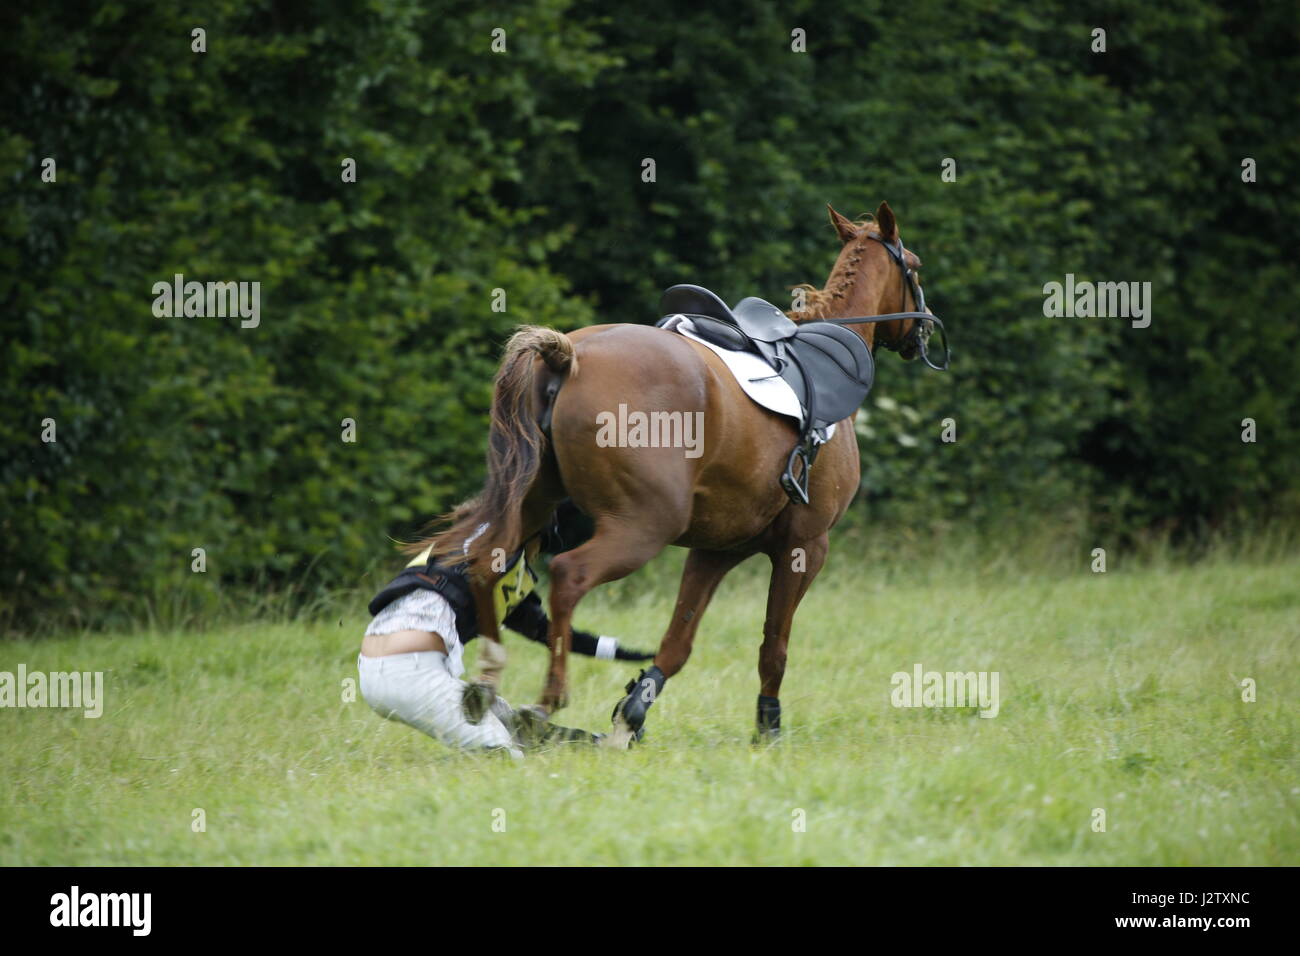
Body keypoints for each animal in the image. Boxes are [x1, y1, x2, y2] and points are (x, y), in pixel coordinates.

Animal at [421, 201, 941, 749]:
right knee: (567, 577)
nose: (923, 331)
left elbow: (677, 642)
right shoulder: (805, 546)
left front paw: (632, 713)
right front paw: (768, 727)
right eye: (915, 264)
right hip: (643, 528)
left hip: (537, 506)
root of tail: (569, 354)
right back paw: (546, 699)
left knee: (486, 562)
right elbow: (773, 647)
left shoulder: (715, 550)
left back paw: (486, 680)